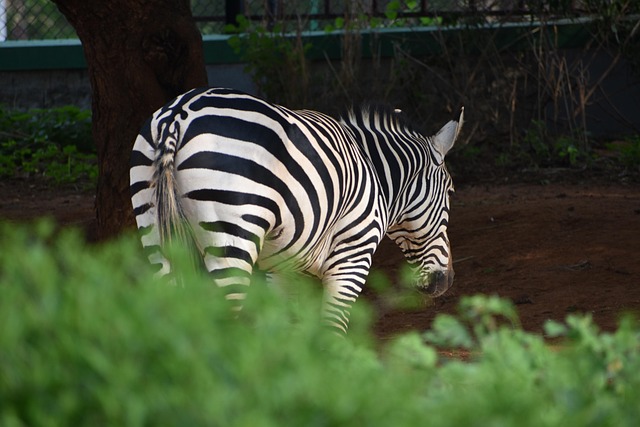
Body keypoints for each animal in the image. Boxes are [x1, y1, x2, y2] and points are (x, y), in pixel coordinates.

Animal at [130, 87, 463, 333]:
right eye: (450, 192)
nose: (447, 280)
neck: (375, 174)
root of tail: (178, 114)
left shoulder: (281, 266)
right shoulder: (351, 257)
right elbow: (332, 330)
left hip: (156, 233)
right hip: (231, 242)